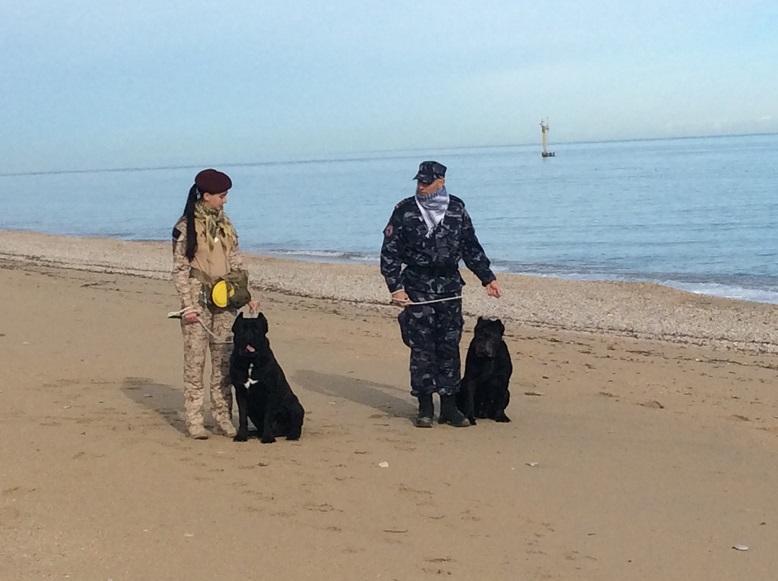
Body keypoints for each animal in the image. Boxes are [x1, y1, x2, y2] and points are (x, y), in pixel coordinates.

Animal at [227, 312, 304, 444]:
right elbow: (242, 417)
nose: (249, 336)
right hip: (253, 411)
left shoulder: (270, 393)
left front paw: (267, 438)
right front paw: (241, 436)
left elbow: (268, 417)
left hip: (296, 407)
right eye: (242, 330)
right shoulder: (241, 393)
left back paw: (291, 435)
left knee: (295, 426)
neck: (250, 363)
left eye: (257, 330)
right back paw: (254, 433)